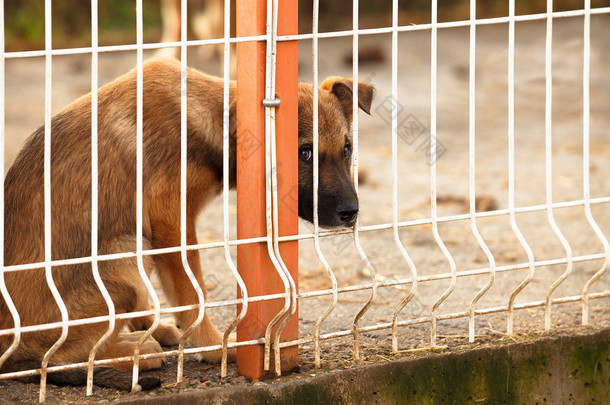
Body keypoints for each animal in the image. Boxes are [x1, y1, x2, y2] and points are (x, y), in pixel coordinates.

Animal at [0, 58, 370, 390]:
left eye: (348, 149)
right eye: (304, 153)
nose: (351, 212)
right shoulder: (172, 221)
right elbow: (193, 290)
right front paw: (215, 345)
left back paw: (147, 332)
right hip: (126, 250)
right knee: (53, 360)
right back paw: (135, 351)